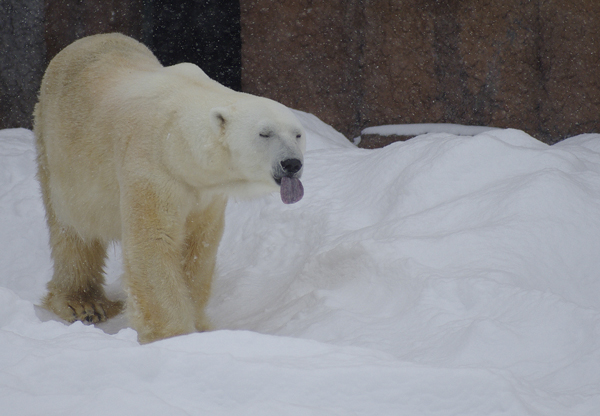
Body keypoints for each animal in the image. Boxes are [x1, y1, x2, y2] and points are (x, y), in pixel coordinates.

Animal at [34, 33, 304, 344]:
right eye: (265, 133)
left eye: (298, 134)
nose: (292, 163)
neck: (176, 140)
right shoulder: (152, 166)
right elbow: (154, 242)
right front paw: (174, 335)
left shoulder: (204, 192)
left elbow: (199, 244)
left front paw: (200, 324)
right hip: (58, 152)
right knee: (71, 230)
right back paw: (83, 303)